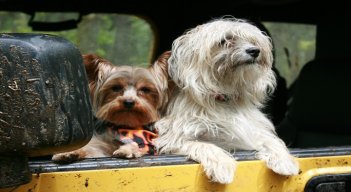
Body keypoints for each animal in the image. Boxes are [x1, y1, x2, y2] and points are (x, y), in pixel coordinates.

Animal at [155, 17, 302, 184]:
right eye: (224, 40)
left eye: (252, 41)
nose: (254, 50)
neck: (225, 97)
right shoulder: (174, 138)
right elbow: (205, 145)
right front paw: (222, 165)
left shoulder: (250, 132)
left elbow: (271, 140)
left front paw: (284, 160)